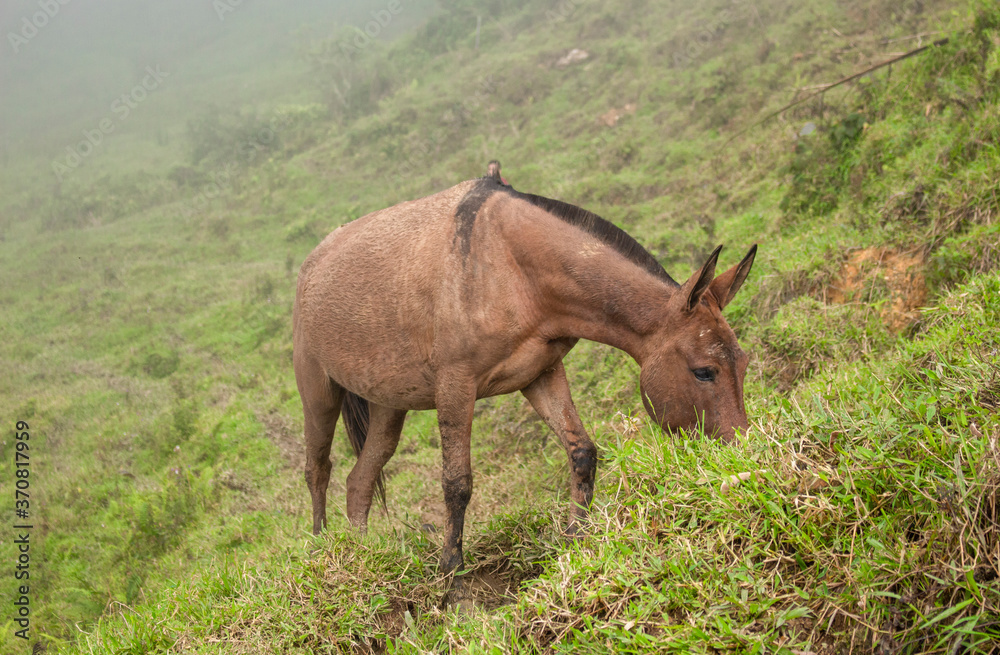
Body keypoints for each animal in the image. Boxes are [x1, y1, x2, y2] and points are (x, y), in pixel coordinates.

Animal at [292, 173, 752, 576]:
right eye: (704, 372)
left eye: (743, 364)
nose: (739, 458)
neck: (510, 264)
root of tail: (311, 265)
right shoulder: (455, 386)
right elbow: (456, 484)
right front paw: (451, 579)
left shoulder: (541, 372)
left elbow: (582, 452)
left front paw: (576, 540)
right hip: (318, 391)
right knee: (318, 469)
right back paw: (320, 551)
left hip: (389, 406)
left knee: (359, 481)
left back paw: (361, 555)